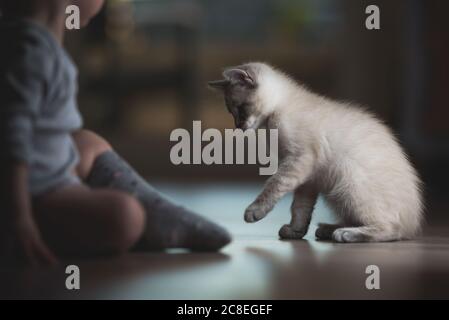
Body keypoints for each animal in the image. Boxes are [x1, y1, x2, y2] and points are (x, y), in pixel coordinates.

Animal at [208, 62, 422, 242]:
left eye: (240, 109)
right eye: (231, 112)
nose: (238, 127)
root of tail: (414, 226)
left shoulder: (299, 160)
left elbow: (273, 186)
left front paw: (255, 211)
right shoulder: (307, 177)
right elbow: (299, 208)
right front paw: (295, 231)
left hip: (349, 183)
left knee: (390, 229)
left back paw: (344, 234)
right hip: (339, 194)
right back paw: (327, 229)